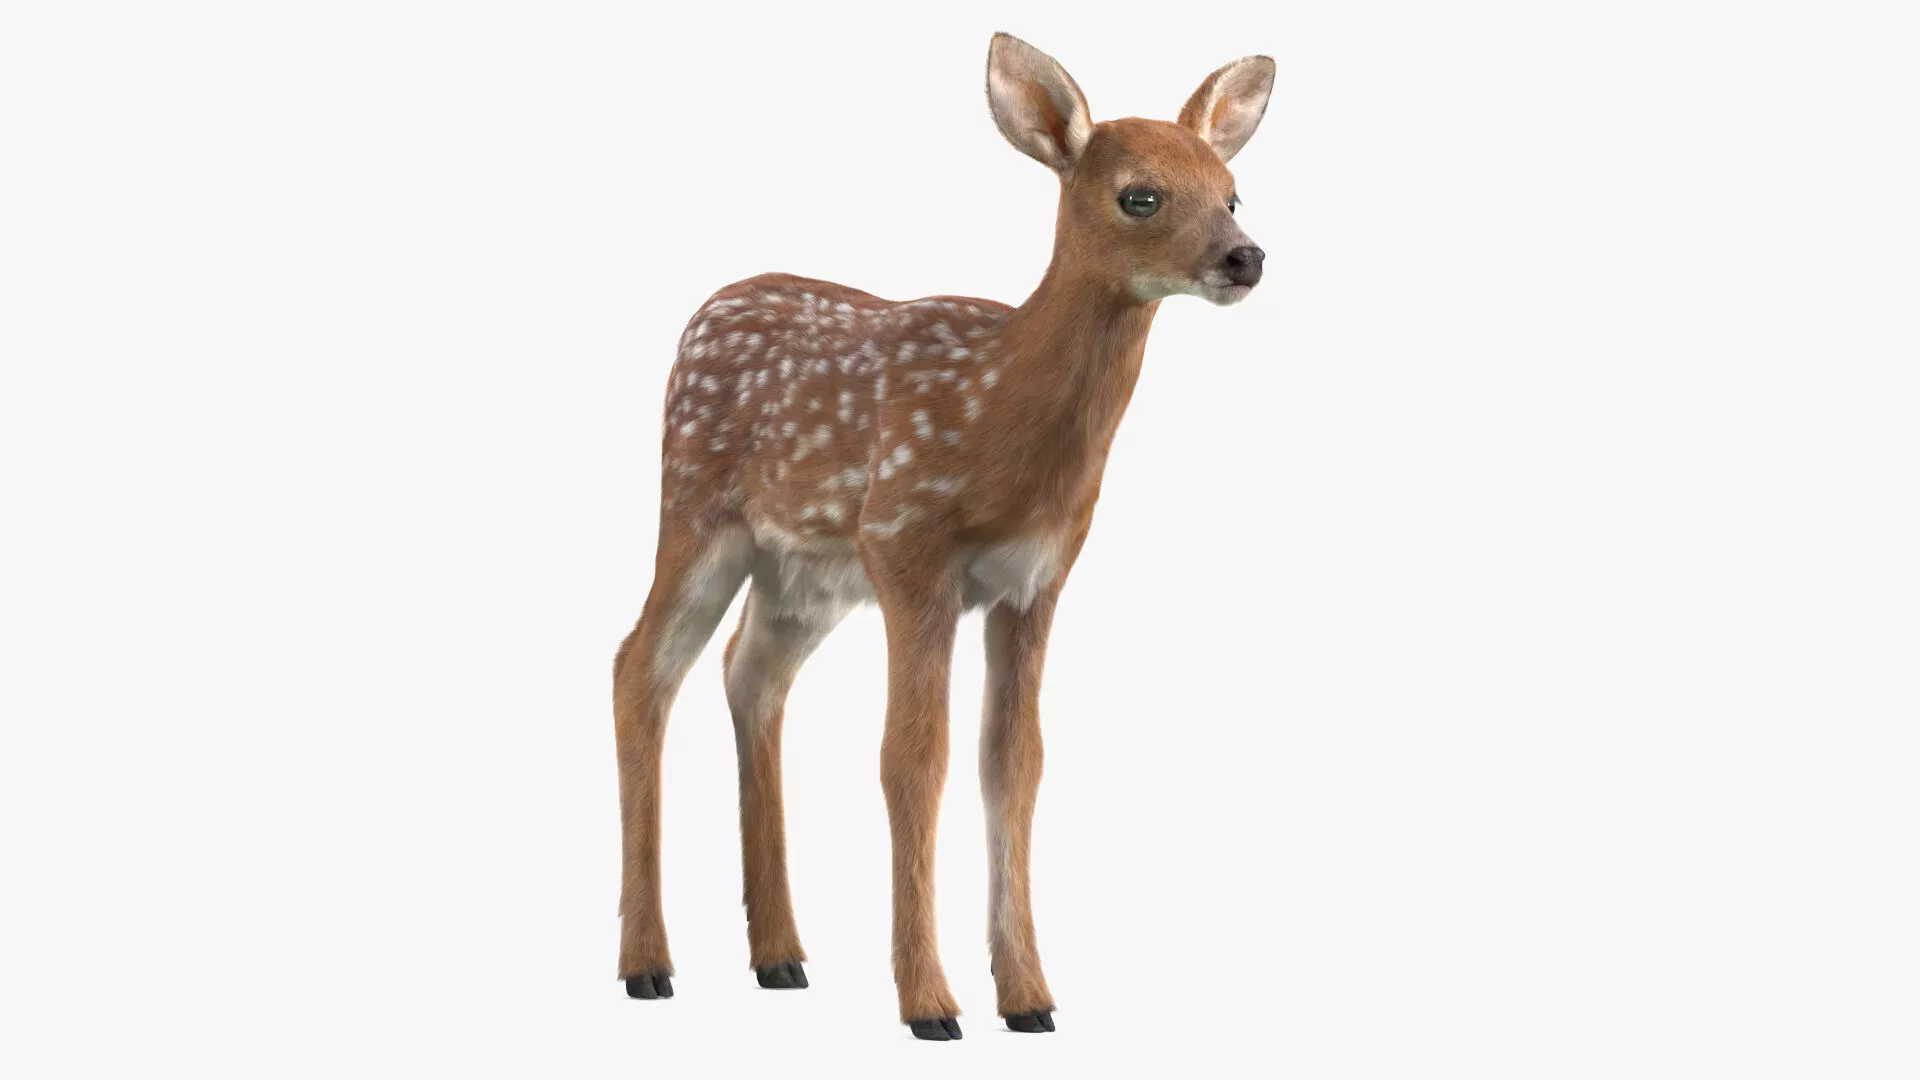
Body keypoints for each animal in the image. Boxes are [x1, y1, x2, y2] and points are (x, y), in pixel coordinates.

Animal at [613, 32, 1273, 1040]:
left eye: (1232, 191)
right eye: (1141, 194)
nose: (1246, 257)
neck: (999, 411)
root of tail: (704, 311)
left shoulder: (1037, 580)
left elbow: (1014, 764)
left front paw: (1029, 996)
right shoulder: (908, 546)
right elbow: (912, 759)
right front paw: (930, 1004)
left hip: (805, 571)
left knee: (749, 671)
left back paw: (780, 957)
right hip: (695, 510)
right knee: (641, 666)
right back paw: (648, 964)